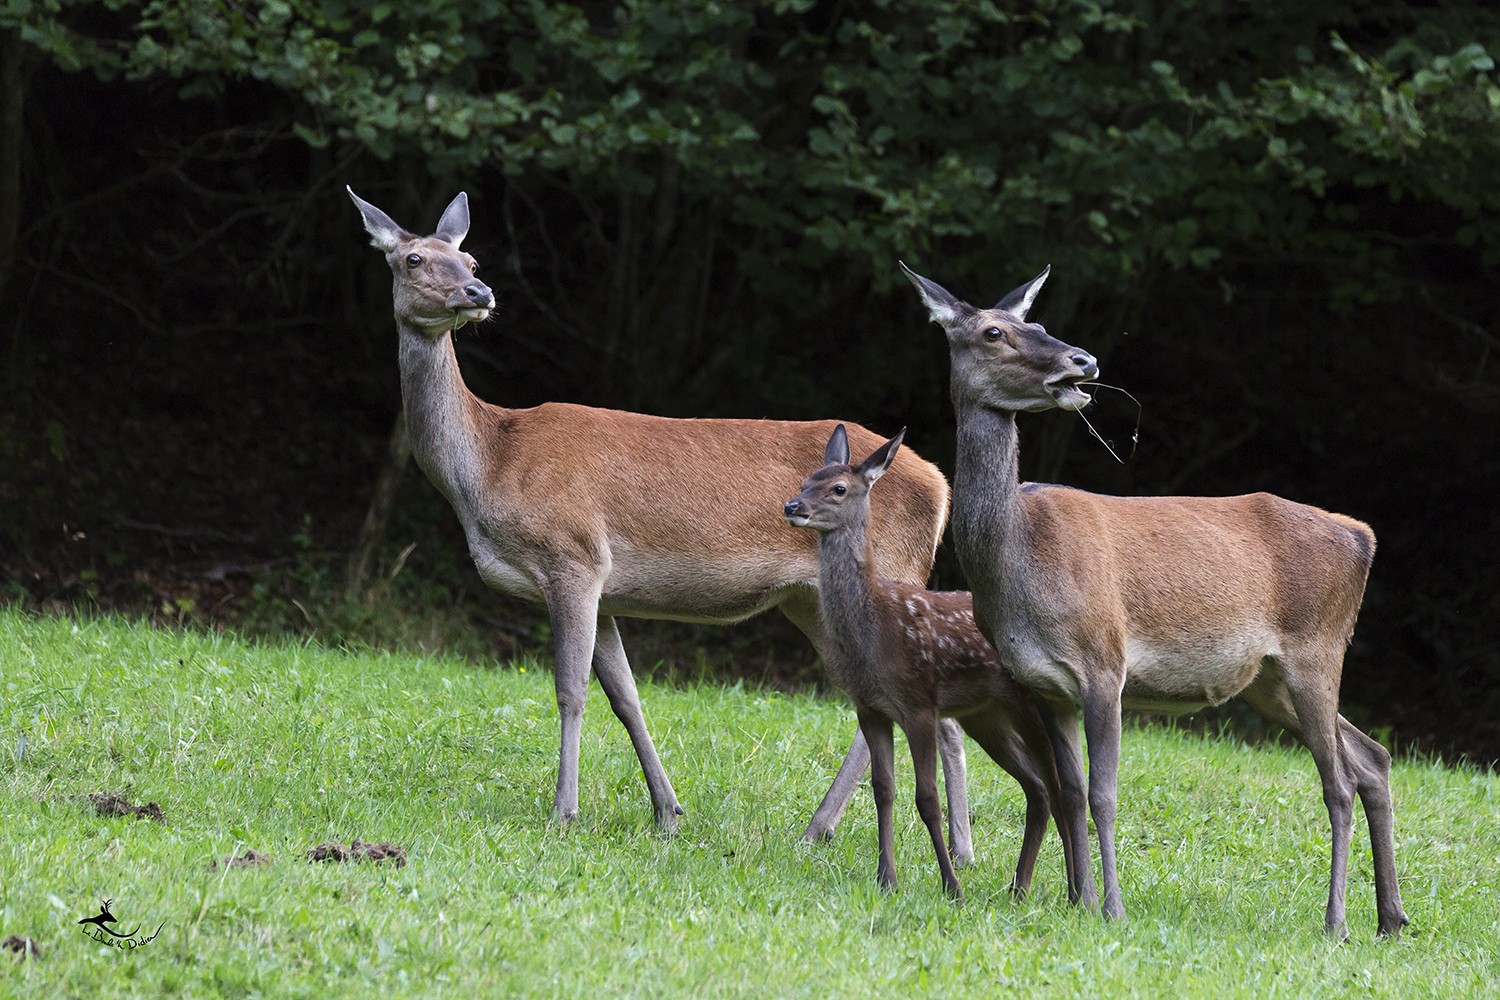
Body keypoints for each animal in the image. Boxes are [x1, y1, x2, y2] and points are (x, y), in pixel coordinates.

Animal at [343, 185, 972, 845]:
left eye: (471, 260)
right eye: (414, 258)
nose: (478, 293)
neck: (489, 464)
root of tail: (941, 487)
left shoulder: (572, 555)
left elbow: (570, 690)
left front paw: (564, 810)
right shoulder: (603, 587)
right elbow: (626, 696)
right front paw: (667, 810)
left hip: (887, 572)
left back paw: (847, 830)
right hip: (813, 598)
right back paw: (927, 840)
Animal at [786, 425, 1080, 905]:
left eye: (838, 488)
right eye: (805, 480)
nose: (792, 507)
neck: (874, 631)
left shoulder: (919, 702)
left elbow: (927, 799)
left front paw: (951, 885)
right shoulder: (870, 707)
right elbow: (883, 791)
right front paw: (887, 878)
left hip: (1029, 707)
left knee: (1056, 787)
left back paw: (1072, 891)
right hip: (986, 717)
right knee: (1037, 788)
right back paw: (1019, 887)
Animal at [900, 262, 1404, 941]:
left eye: (1038, 321)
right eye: (994, 331)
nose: (1083, 359)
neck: (1017, 562)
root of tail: (1363, 537)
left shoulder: (1102, 663)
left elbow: (1106, 793)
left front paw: (1111, 907)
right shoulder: (1043, 683)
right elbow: (1070, 792)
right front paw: (1078, 899)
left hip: (1317, 650)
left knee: (1339, 780)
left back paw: (1337, 921)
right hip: (1268, 680)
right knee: (1373, 757)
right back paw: (1391, 917)